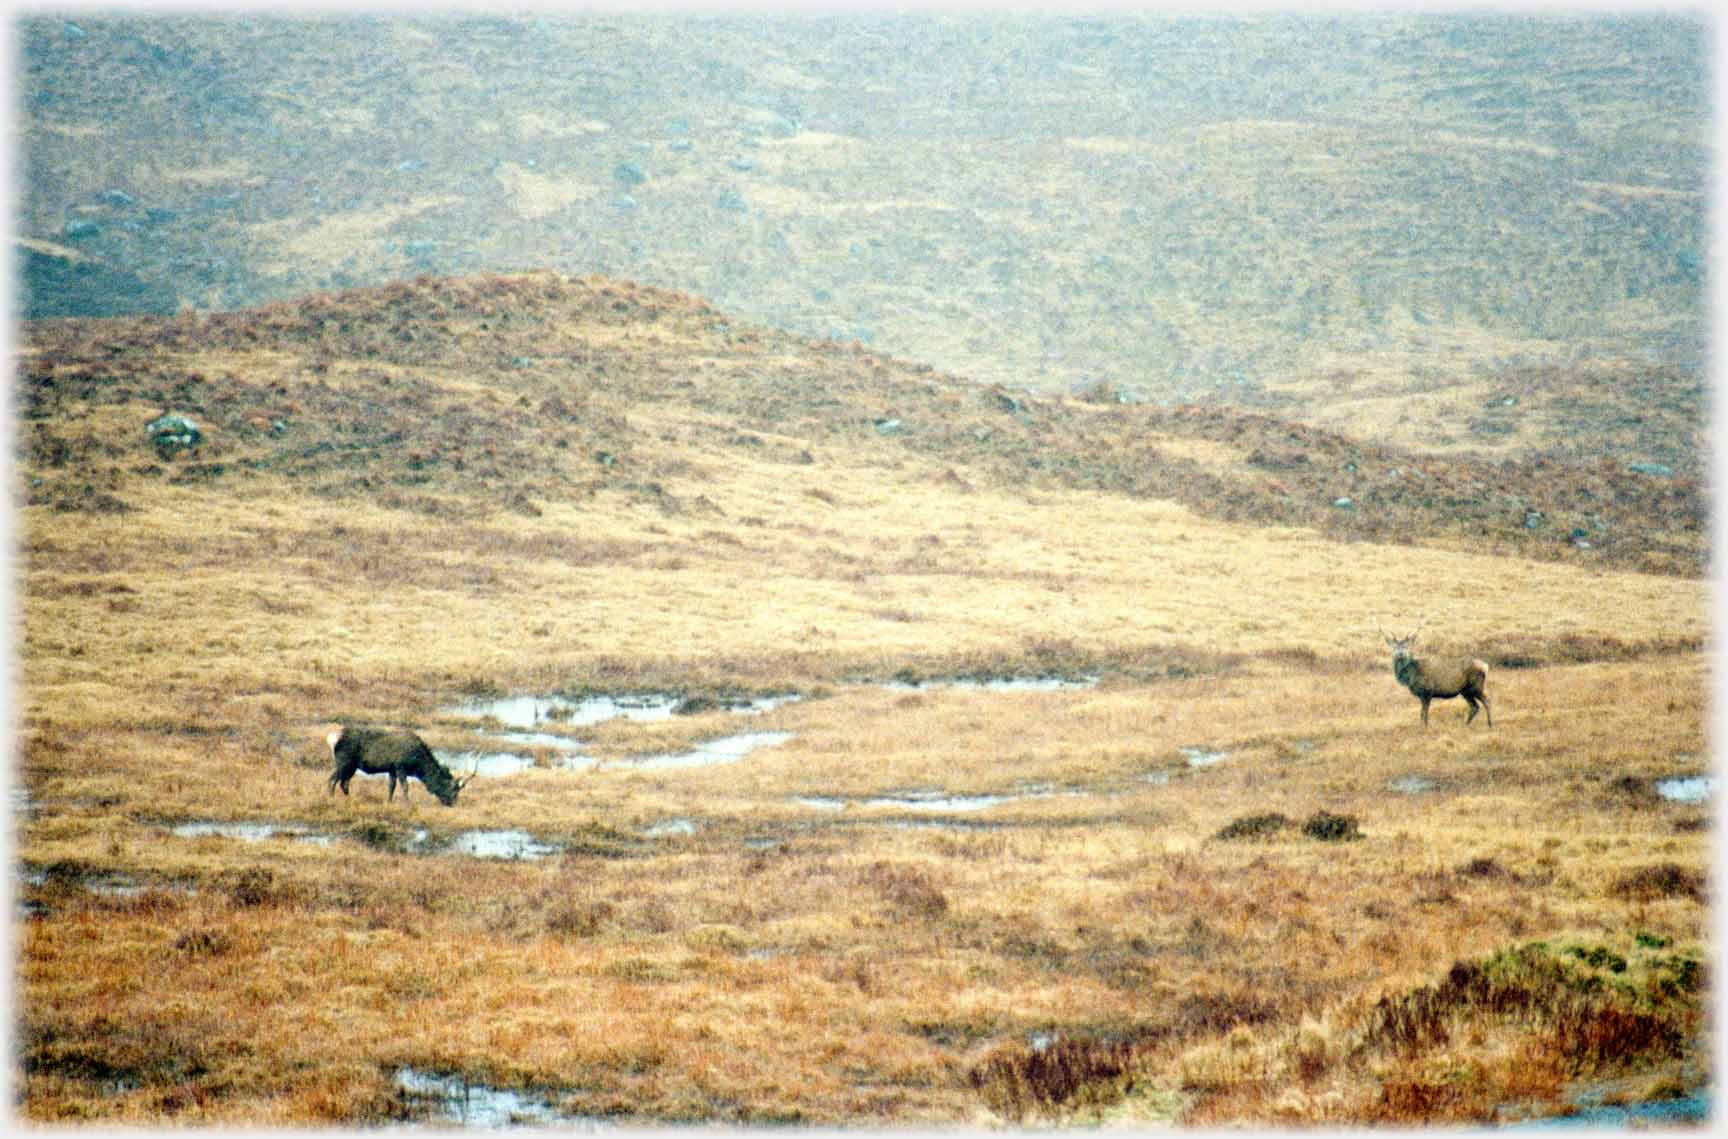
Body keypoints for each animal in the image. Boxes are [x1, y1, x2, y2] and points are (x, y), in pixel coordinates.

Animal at [323, 725, 473, 805]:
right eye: (452, 789)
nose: (452, 804)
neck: (418, 764)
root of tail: (332, 738)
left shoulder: (392, 769)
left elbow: (391, 787)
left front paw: (389, 802)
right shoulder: (401, 767)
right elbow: (405, 787)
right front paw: (408, 803)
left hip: (352, 766)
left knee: (344, 783)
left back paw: (349, 798)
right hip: (344, 762)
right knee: (332, 780)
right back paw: (330, 798)